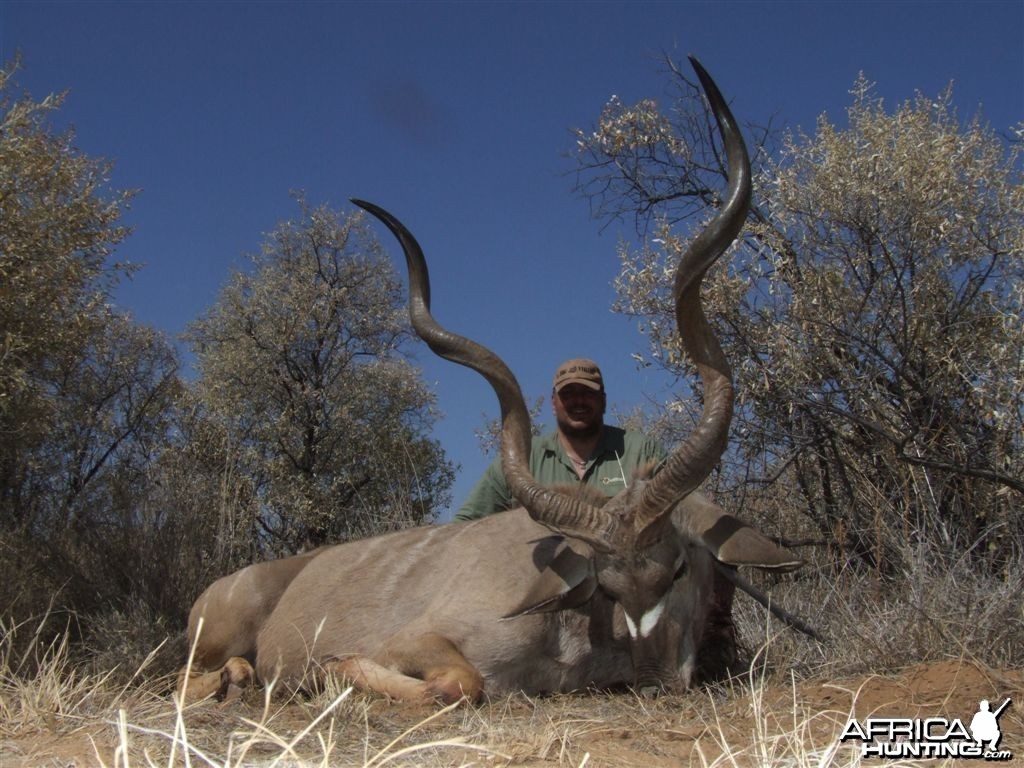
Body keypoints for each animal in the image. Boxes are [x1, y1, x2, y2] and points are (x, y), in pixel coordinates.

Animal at [178, 61, 798, 708]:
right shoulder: (422, 642)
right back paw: (238, 679)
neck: (571, 630)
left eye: (678, 569)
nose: (656, 680)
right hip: (213, 639)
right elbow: (459, 682)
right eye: (606, 584)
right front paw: (331, 668)